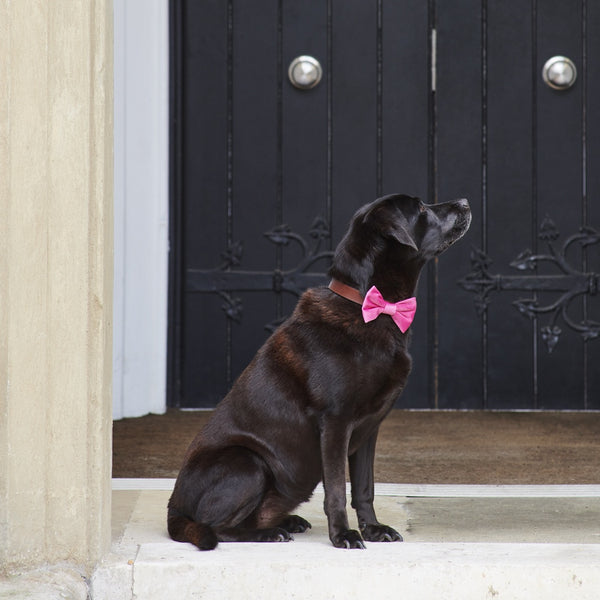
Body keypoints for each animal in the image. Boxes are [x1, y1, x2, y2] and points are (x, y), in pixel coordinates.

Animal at [166, 195, 472, 552]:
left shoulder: (370, 428)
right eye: (421, 209)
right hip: (247, 462)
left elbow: (364, 488)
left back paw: (287, 522)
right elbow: (337, 489)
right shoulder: (336, 421)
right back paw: (269, 533)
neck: (370, 305)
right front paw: (343, 535)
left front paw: (373, 529)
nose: (465, 202)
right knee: (216, 527)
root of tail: (173, 509)